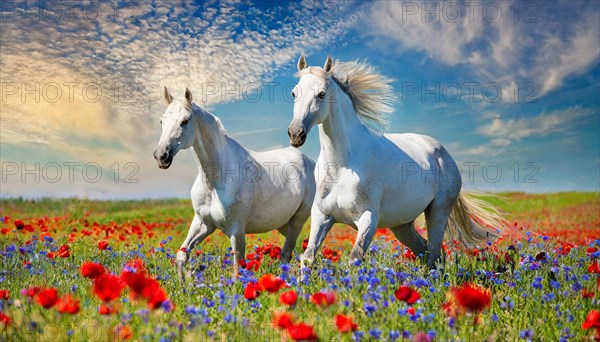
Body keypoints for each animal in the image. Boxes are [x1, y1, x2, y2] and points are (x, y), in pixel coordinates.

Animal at [154, 87, 314, 280]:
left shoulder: (236, 231)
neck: (215, 181)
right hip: (284, 224)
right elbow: (181, 256)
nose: (161, 156)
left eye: (185, 121)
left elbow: (238, 268)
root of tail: (309, 162)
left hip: (297, 221)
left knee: (289, 253)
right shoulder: (203, 224)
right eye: (162, 120)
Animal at [288, 54, 504, 268]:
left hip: (438, 213)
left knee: (434, 253)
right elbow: (307, 258)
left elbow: (355, 258)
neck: (342, 166)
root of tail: (444, 154)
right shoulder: (321, 216)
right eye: (293, 93)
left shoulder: (368, 218)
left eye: (321, 94)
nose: (296, 134)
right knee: (428, 252)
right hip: (401, 226)